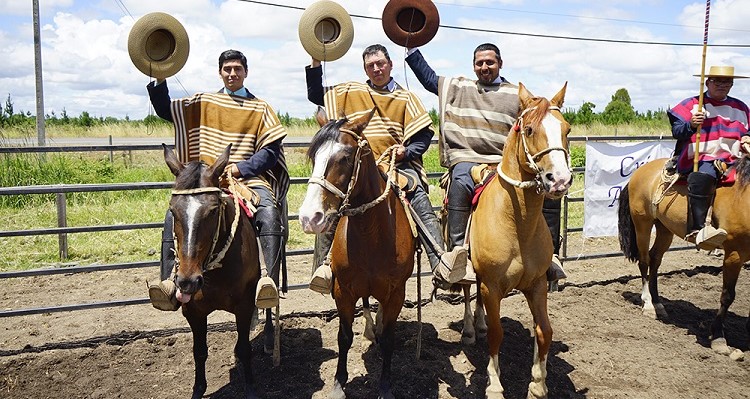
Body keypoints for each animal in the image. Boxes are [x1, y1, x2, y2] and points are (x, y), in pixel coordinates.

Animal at [164, 145, 268, 399]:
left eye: (212, 211)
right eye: (173, 210)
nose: (188, 281)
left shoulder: (244, 306)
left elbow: (244, 348)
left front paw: (250, 388)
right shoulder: (193, 311)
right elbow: (199, 351)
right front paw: (198, 389)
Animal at [300, 110, 418, 399]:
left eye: (344, 157)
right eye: (314, 156)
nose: (309, 218)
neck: (371, 234)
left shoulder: (396, 293)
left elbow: (389, 339)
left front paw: (385, 386)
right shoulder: (343, 291)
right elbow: (344, 337)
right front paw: (338, 384)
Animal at [472, 83, 572, 398]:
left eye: (567, 129)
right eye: (528, 130)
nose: (560, 180)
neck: (517, 226)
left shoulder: (537, 284)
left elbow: (545, 331)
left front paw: (538, 383)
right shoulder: (491, 286)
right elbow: (496, 333)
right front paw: (494, 384)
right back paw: (470, 328)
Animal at [616, 142, 750, 358]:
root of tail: (641, 171)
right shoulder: (734, 253)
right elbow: (727, 295)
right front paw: (718, 338)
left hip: (665, 228)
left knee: (655, 259)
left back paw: (658, 303)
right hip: (643, 224)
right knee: (645, 261)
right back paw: (648, 304)